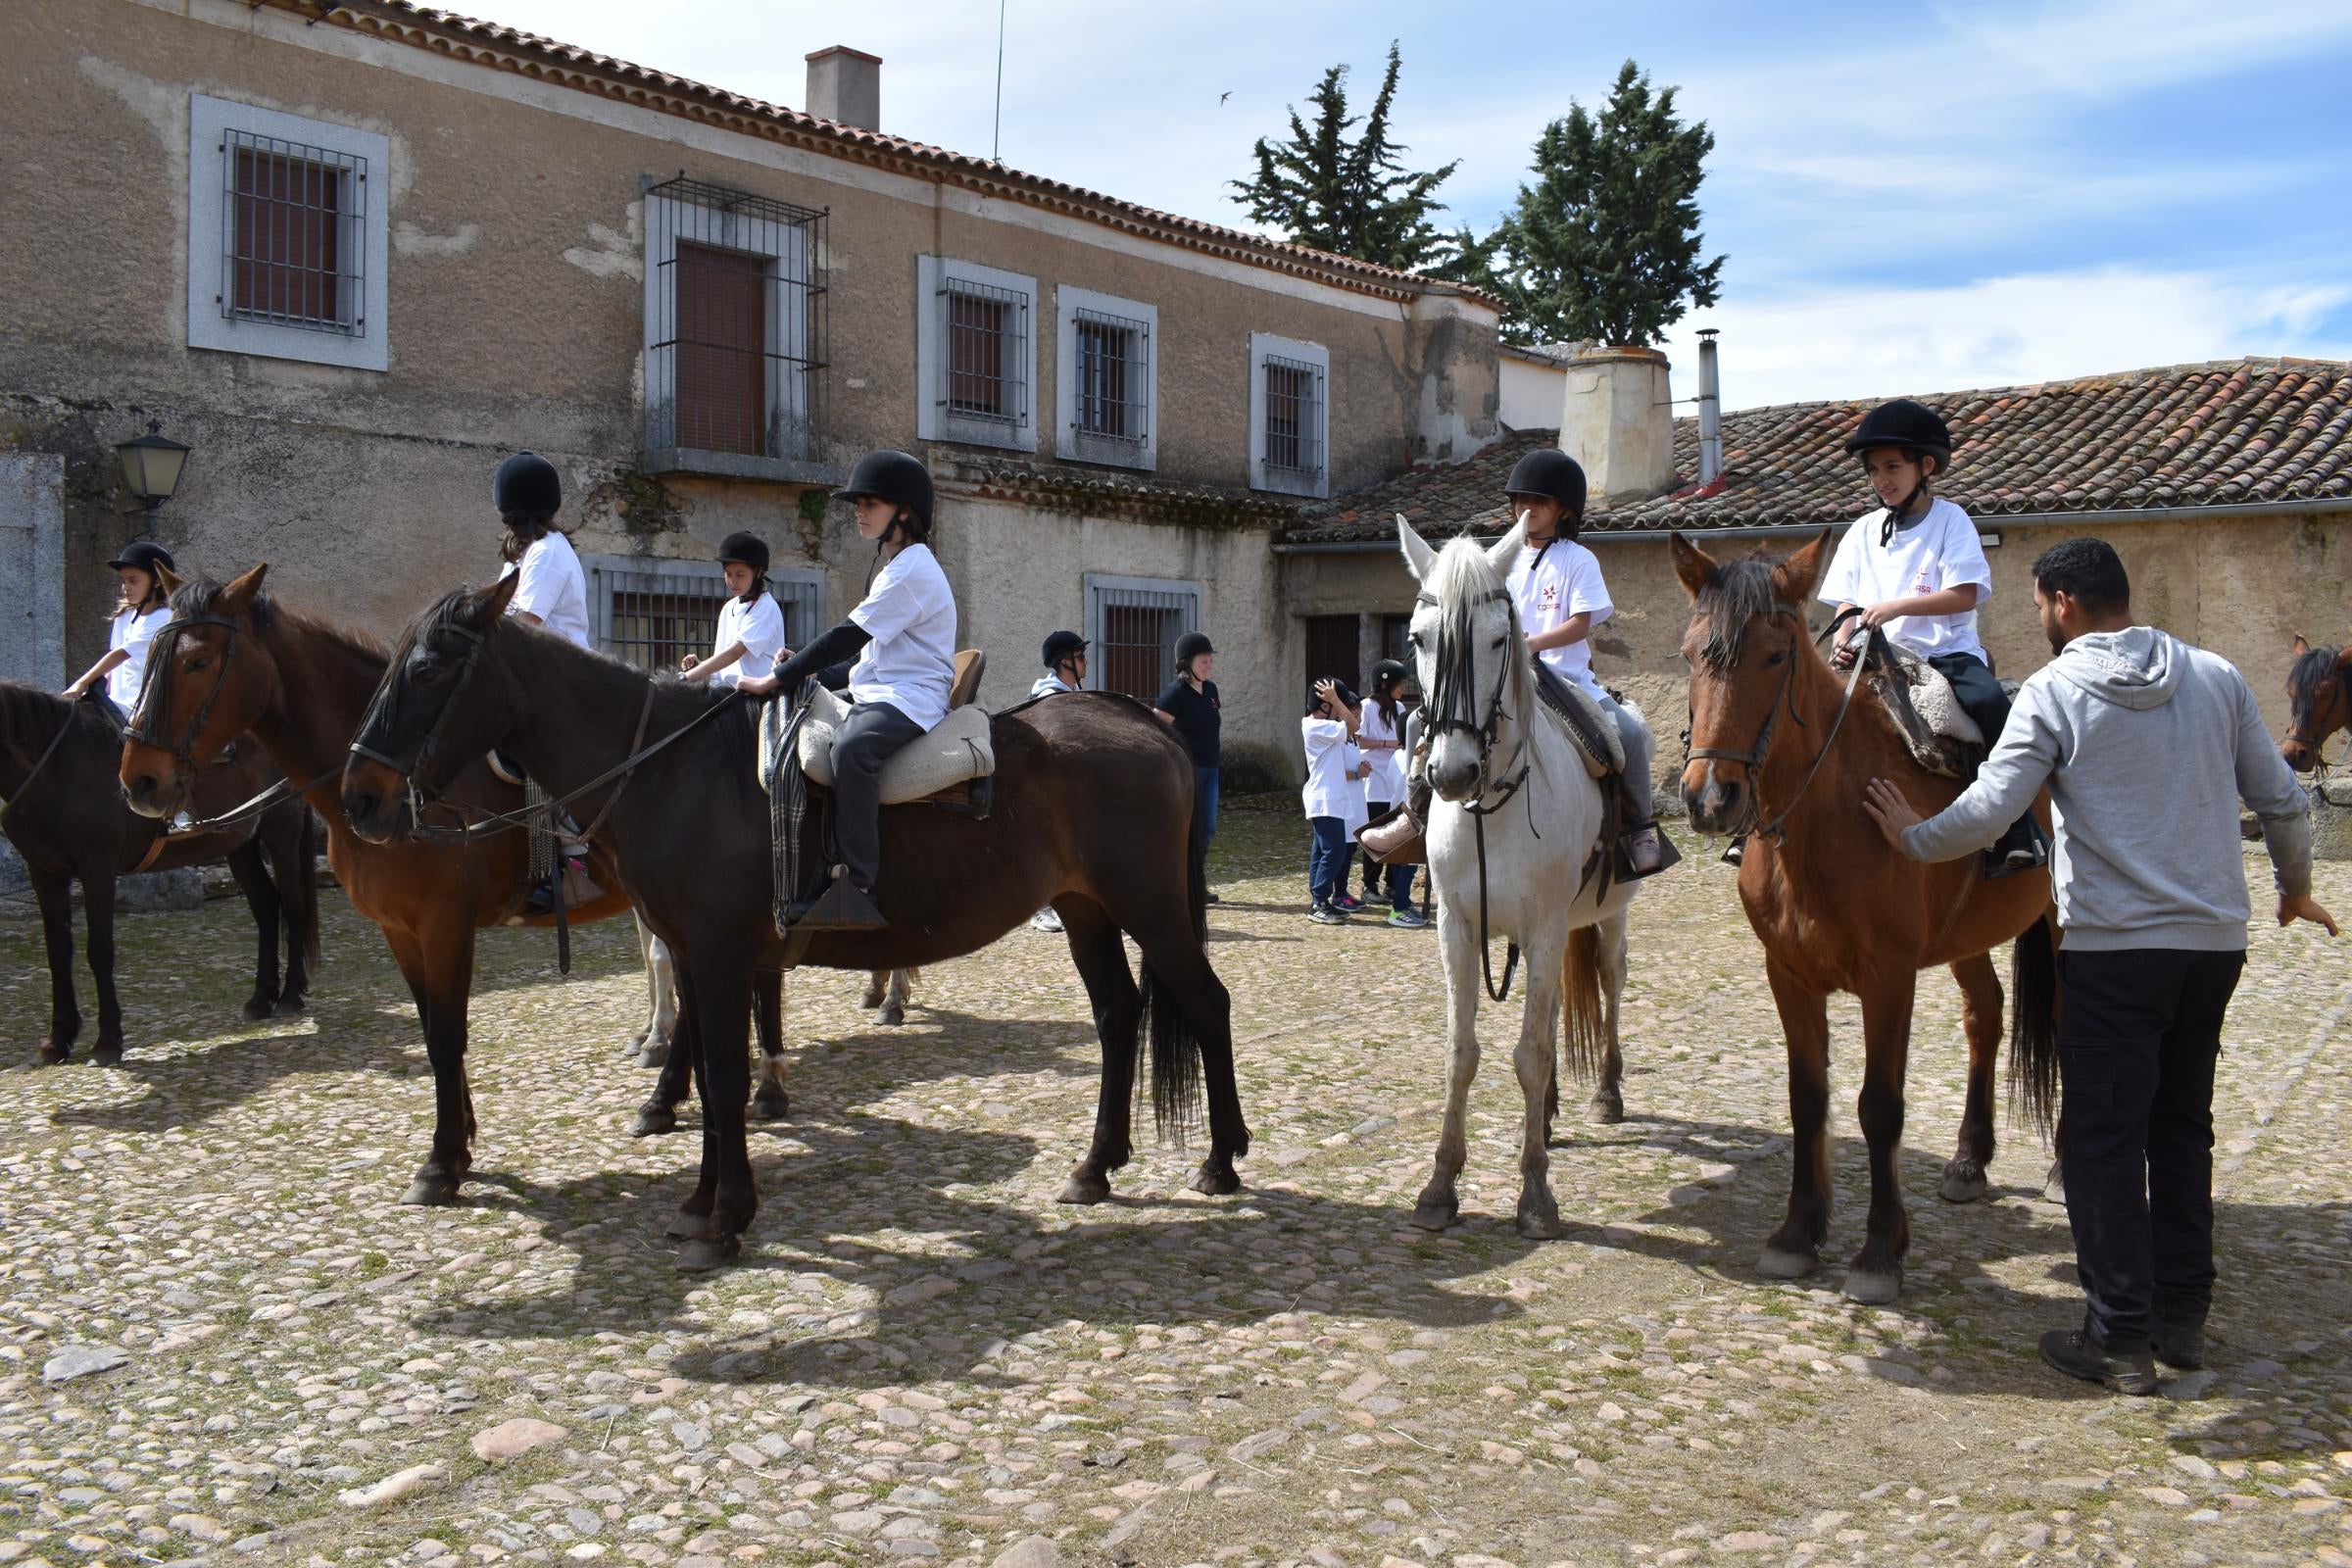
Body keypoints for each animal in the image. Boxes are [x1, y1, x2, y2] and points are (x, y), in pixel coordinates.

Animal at [1, 681, 318, 1062]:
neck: (56, 768)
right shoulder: (45, 874)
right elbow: (58, 953)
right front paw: (57, 1041)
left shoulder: (97, 870)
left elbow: (100, 951)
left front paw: (107, 1042)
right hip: (239, 842)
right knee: (268, 906)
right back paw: (259, 1000)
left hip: (280, 828)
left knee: (294, 906)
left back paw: (289, 996)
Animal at [115, 570, 780, 1212]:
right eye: (149, 657)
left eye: (199, 661)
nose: (139, 780)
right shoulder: (400, 931)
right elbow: (433, 1030)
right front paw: (459, 1143)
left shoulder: (445, 926)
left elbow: (446, 1036)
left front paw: (439, 1164)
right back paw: (664, 1091)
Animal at [341, 575, 1250, 1278]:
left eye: (429, 668)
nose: (361, 798)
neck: (672, 769)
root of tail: (1141, 722)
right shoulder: (698, 954)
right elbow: (708, 1072)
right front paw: (700, 1199)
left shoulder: (715, 953)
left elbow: (725, 1078)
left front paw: (726, 1218)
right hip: (1086, 910)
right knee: (1119, 1015)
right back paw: (1096, 1167)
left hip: (1149, 907)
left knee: (1206, 1005)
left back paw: (1220, 1159)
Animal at [1401, 514, 1646, 1241]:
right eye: (1419, 638)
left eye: (1497, 639)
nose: (1451, 773)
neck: (1493, 807)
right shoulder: (1457, 929)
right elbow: (1463, 1052)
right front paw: (1440, 1185)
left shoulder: (1543, 930)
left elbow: (1531, 1053)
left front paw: (1535, 1193)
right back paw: (1550, 1116)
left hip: (1606, 918)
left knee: (1611, 984)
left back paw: (1605, 1095)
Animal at [1674, 533, 2060, 1306]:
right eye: (1691, 652)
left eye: (1776, 655)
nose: (1709, 800)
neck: (1834, 811)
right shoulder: (1789, 975)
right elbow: (1807, 1098)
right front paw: (1797, 1234)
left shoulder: (1889, 979)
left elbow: (1880, 1107)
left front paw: (1880, 1252)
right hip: (1965, 941)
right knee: (1986, 1016)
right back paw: (1969, 1161)